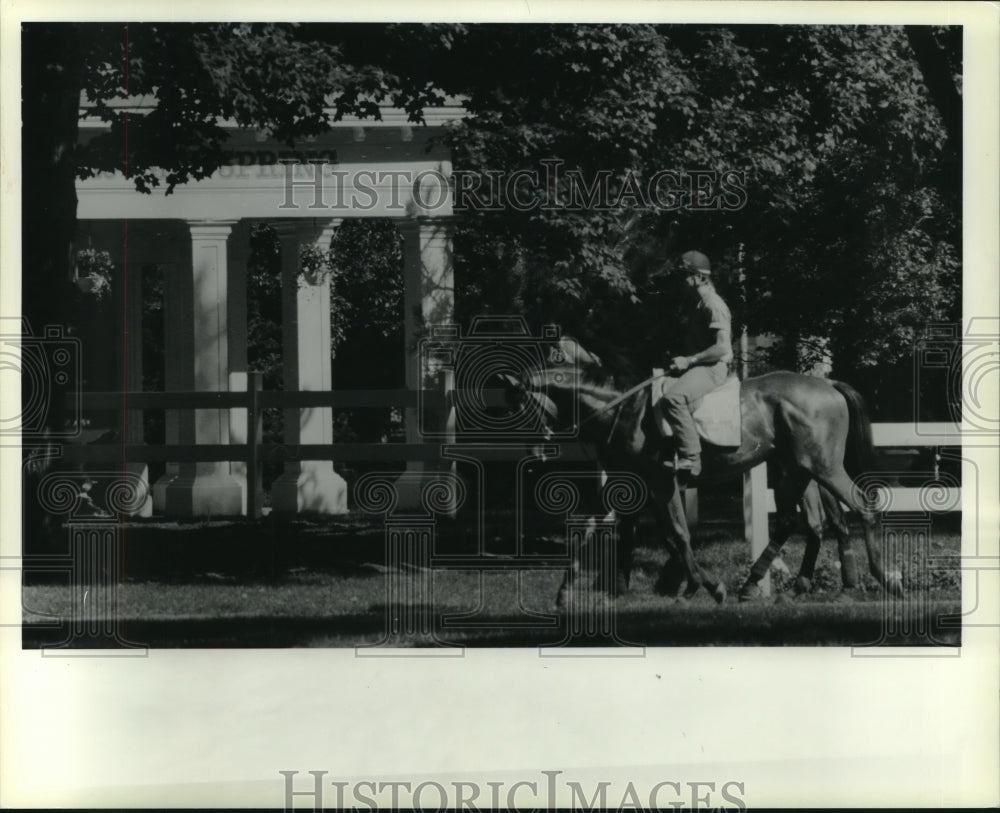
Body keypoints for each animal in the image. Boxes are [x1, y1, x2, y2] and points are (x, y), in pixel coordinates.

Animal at [516, 334, 908, 604]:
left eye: (519, 407)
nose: (535, 456)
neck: (622, 405)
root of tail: (828, 384)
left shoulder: (660, 481)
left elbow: (676, 534)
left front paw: (699, 585)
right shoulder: (630, 482)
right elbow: (593, 529)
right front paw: (569, 592)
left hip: (823, 467)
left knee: (860, 509)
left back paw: (882, 580)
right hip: (796, 470)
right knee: (801, 521)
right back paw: (775, 585)